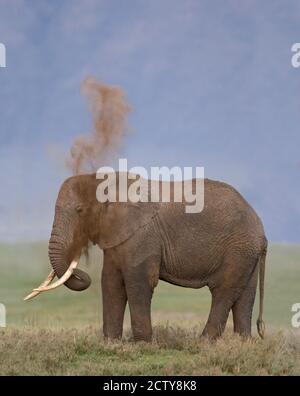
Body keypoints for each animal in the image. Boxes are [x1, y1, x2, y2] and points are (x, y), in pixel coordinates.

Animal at [24, 172, 266, 342]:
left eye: (79, 210)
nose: (81, 273)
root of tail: (261, 228)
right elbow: (110, 282)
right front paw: (111, 343)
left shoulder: (142, 237)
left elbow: (138, 281)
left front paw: (142, 344)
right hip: (246, 253)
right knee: (245, 294)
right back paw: (242, 343)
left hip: (238, 249)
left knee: (223, 291)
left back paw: (204, 342)